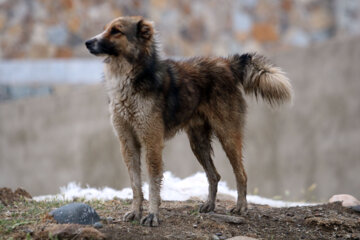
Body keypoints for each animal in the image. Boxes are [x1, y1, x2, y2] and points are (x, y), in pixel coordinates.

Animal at [85, 15, 292, 226]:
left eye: (116, 31)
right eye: (105, 29)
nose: (87, 42)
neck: (128, 77)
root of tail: (226, 63)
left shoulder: (152, 142)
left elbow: (153, 183)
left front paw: (152, 215)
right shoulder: (128, 143)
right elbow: (136, 184)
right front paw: (135, 212)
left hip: (228, 136)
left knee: (241, 174)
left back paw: (241, 207)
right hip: (198, 143)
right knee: (214, 175)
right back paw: (210, 205)